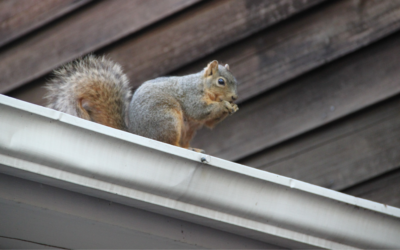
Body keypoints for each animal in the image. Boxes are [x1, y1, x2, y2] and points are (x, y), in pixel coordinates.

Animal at [47, 55, 241, 152]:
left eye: (235, 81)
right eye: (221, 81)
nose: (234, 98)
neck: (203, 86)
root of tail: (137, 133)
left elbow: (209, 122)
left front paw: (233, 108)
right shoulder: (190, 95)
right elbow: (199, 111)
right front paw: (224, 106)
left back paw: (192, 149)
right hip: (167, 119)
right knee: (169, 142)